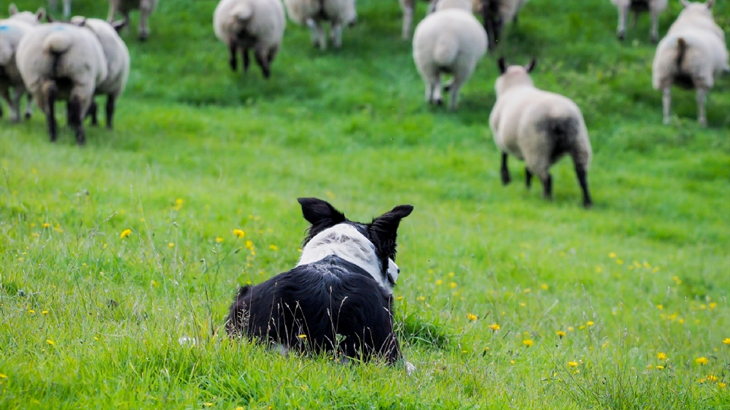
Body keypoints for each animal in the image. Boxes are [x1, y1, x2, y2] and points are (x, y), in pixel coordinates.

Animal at [486, 57, 588, 208]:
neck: (516, 86)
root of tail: (560, 117)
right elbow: (527, 169)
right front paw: (527, 188)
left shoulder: (500, 136)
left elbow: (504, 157)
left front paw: (506, 180)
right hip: (578, 141)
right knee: (581, 174)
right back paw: (587, 203)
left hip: (537, 145)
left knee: (547, 177)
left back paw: (547, 199)